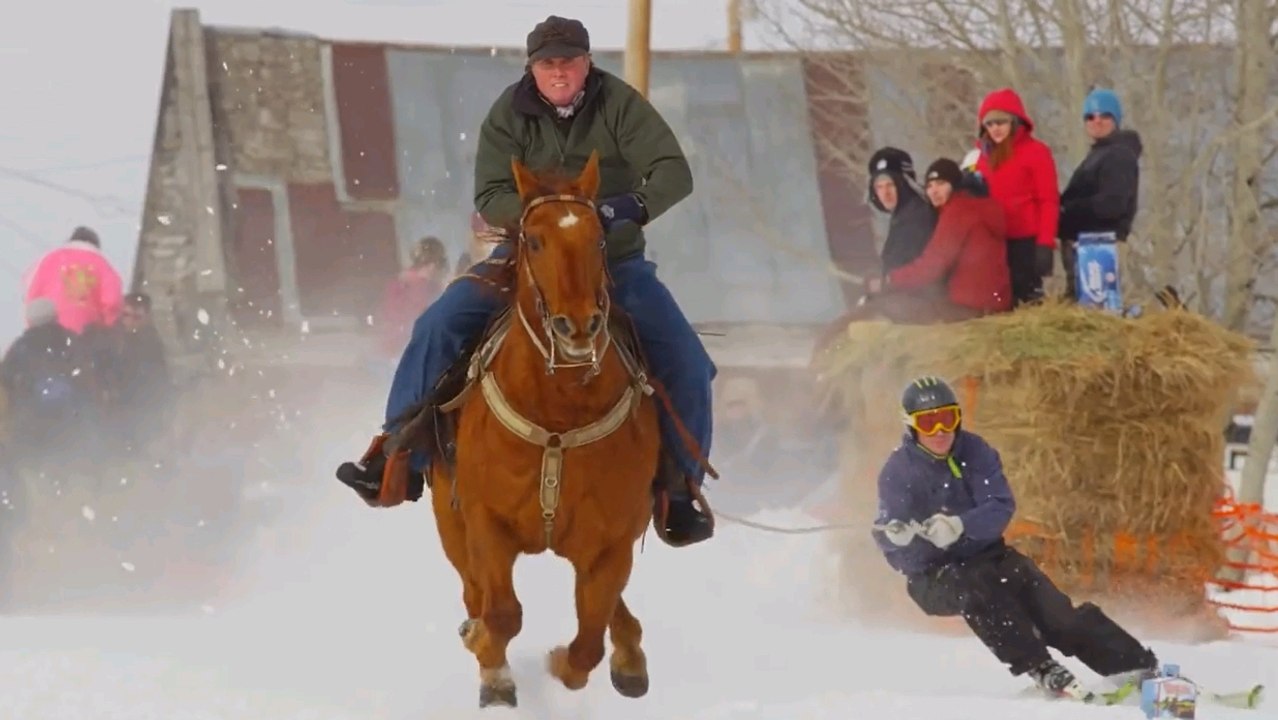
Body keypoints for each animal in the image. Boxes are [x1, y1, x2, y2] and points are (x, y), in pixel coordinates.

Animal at [429, 151, 662, 708]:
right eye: (533, 240)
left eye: (599, 240)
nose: (576, 327)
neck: (559, 416)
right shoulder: (485, 522)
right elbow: (501, 613)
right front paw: (492, 667)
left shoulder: (612, 542)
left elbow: (588, 642)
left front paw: (571, 663)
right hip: (450, 520)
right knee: (474, 592)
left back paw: (630, 656)